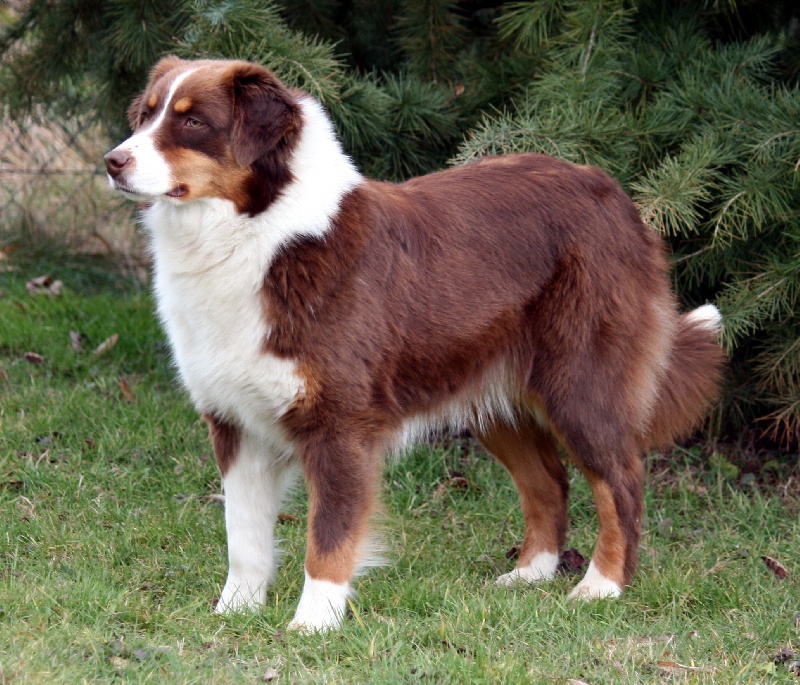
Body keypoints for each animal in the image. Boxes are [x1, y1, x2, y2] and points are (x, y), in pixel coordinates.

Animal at [103, 57, 720, 632]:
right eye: (146, 115)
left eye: (194, 122)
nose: (112, 161)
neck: (257, 235)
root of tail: (614, 191)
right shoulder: (235, 421)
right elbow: (244, 535)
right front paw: (235, 611)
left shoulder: (339, 423)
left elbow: (328, 536)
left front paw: (314, 622)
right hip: (492, 397)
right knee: (549, 480)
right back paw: (529, 574)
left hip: (579, 386)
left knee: (622, 478)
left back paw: (602, 585)